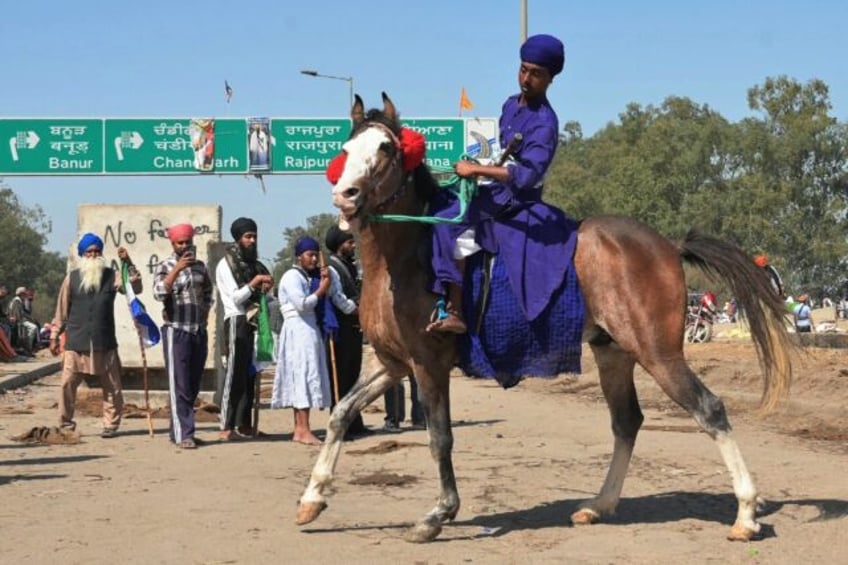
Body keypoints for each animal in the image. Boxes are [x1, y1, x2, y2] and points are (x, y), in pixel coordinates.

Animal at [294, 92, 796, 540]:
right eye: (345, 150)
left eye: (385, 148)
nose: (345, 195)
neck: (403, 259)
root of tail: (668, 246)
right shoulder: (392, 363)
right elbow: (341, 412)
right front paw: (312, 498)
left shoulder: (428, 363)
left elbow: (440, 437)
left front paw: (439, 513)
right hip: (614, 353)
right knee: (627, 422)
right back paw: (599, 505)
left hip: (658, 351)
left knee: (709, 409)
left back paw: (746, 514)